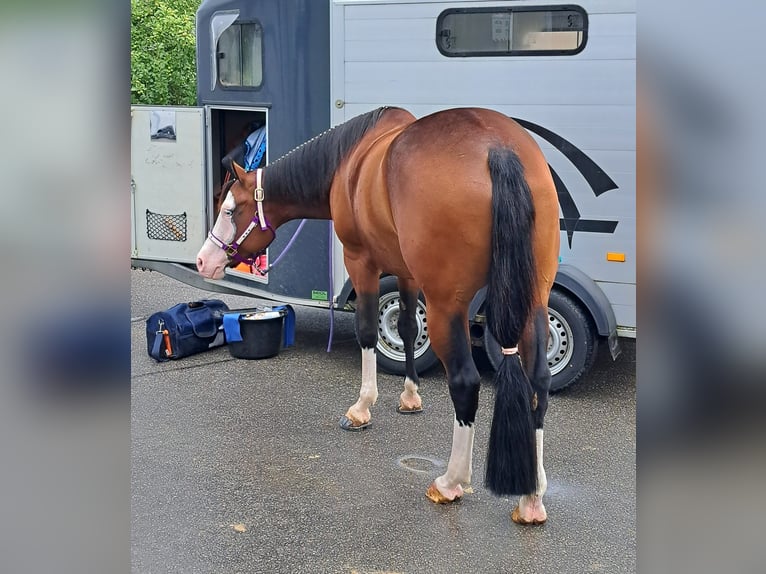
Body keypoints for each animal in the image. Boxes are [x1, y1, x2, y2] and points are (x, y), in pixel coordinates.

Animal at [196, 107, 560, 524]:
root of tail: (497, 149)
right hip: (533, 298)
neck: (348, 162)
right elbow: (406, 327)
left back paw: (450, 482)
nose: (203, 260)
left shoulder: (361, 263)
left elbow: (369, 332)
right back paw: (532, 497)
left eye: (229, 209)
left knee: (466, 382)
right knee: (539, 382)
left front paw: (361, 408)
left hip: (448, 305)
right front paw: (410, 396)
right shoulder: (406, 272)